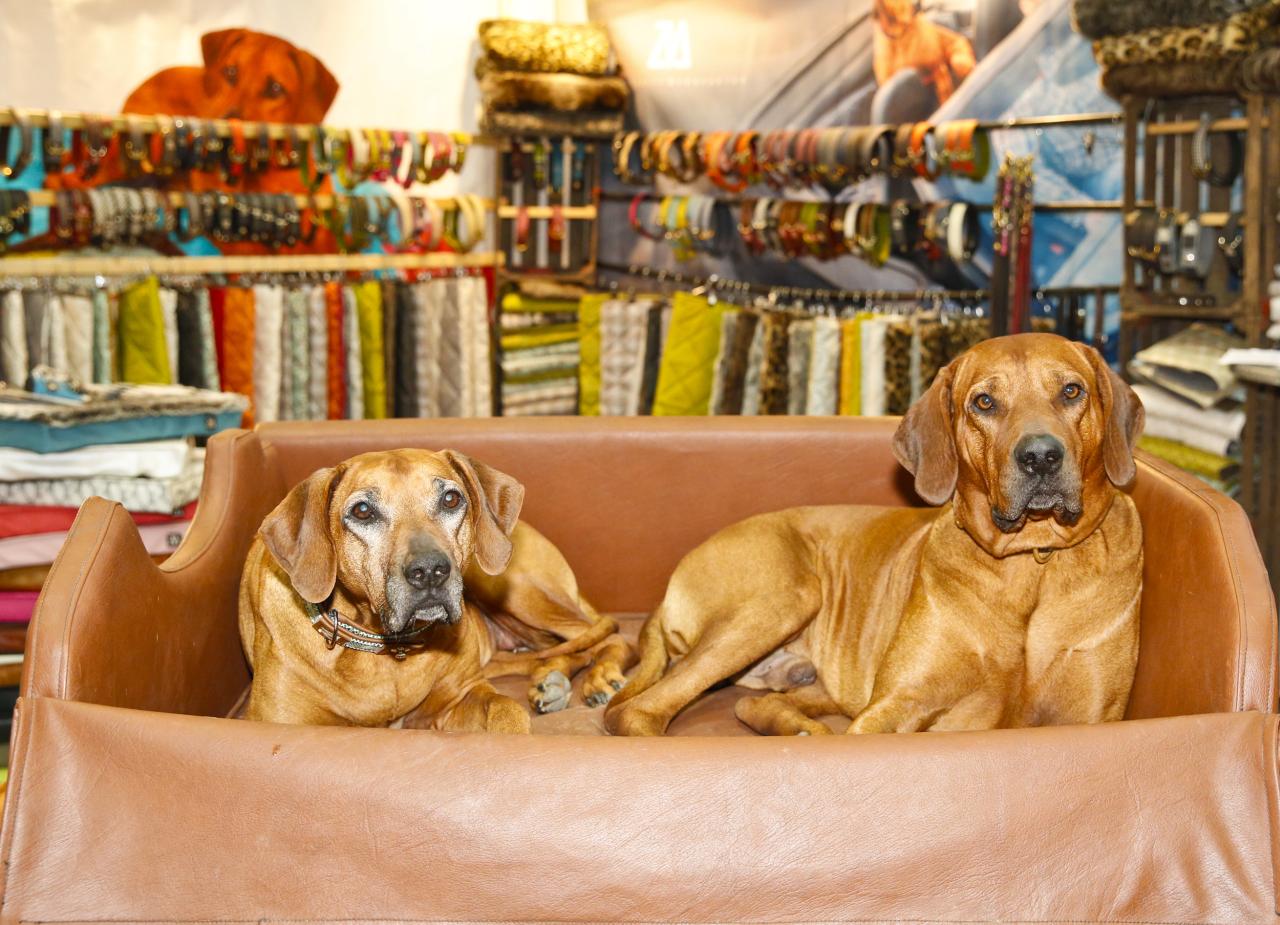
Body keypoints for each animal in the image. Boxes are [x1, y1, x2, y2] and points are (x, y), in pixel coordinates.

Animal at [238, 447, 632, 731]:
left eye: (451, 499)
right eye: (362, 510)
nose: (430, 572)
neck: (384, 648)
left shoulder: (464, 695)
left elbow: (508, 711)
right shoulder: (276, 723)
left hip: (514, 589)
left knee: (610, 637)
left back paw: (597, 678)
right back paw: (551, 680)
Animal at [604, 335, 1146, 736]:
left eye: (1071, 391)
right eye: (985, 402)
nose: (1040, 457)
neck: (1034, 559)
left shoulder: (1090, 719)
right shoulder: (892, 707)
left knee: (749, 705)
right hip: (781, 599)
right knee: (634, 711)